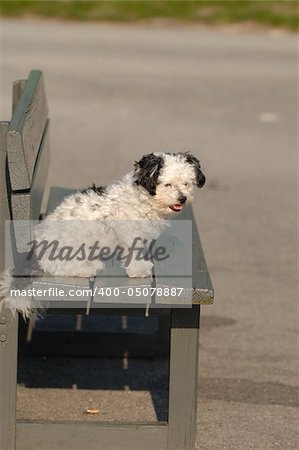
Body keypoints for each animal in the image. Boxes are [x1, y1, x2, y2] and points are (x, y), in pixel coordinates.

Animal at [0, 153, 205, 318]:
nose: (182, 198)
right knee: (59, 268)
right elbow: (134, 254)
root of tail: (34, 254)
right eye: (168, 184)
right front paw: (139, 270)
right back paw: (87, 268)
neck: (143, 197)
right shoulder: (130, 234)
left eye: (186, 183)